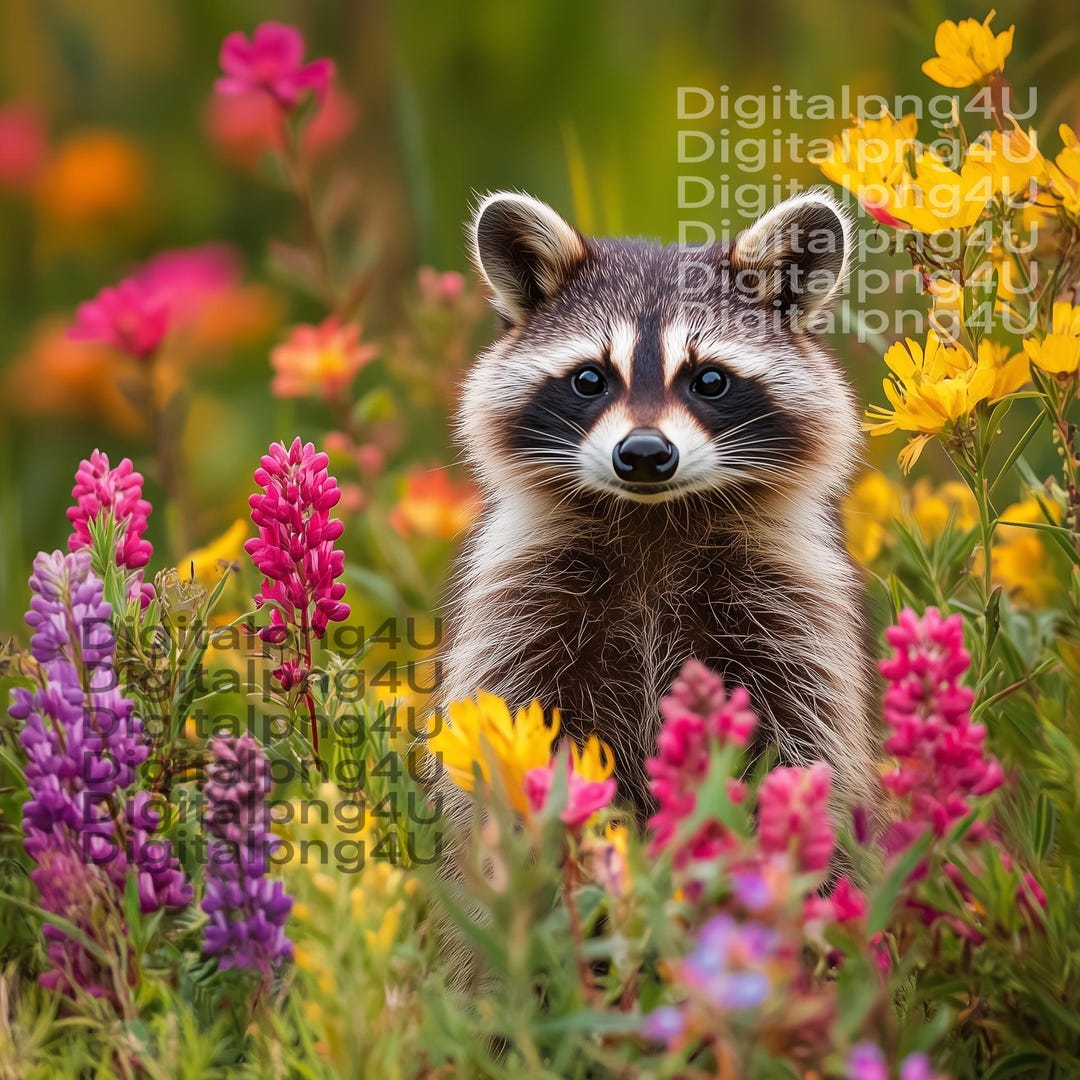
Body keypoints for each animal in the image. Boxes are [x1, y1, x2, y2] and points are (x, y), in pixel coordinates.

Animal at [431, 189, 879, 832]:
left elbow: (810, 734)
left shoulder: (792, 601)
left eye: (710, 380)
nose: (643, 454)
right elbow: (507, 721)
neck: (653, 518)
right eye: (589, 379)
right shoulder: (520, 598)